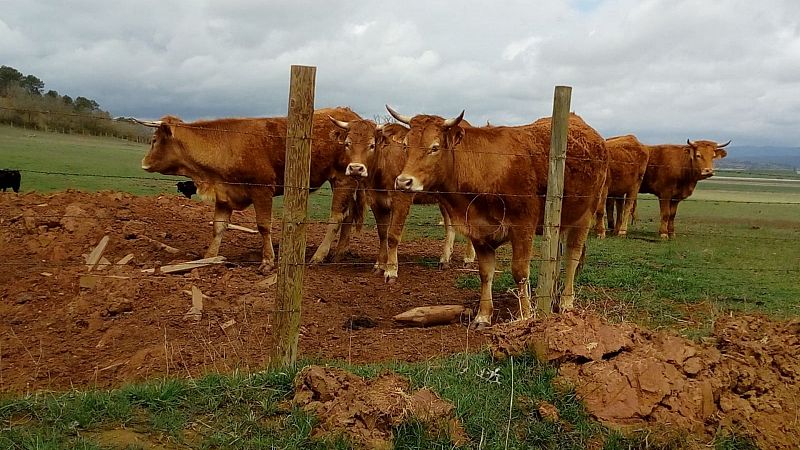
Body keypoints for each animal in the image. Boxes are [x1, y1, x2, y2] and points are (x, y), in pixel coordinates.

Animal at [139, 107, 364, 272]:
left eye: (154, 140)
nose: (144, 164)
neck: (229, 144)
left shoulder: (262, 190)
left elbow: (264, 226)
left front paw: (268, 261)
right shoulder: (225, 195)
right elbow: (218, 227)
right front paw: (208, 258)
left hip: (343, 178)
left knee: (337, 217)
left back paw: (319, 255)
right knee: (349, 214)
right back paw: (340, 252)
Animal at [326, 118, 472, 284]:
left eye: (371, 145)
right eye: (347, 144)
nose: (356, 168)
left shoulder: (401, 201)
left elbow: (393, 236)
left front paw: (391, 271)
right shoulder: (377, 203)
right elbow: (383, 235)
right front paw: (379, 265)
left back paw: (468, 258)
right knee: (450, 226)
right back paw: (445, 259)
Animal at [388, 108, 608, 326]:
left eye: (434, 148)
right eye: (406, 145)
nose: (403, 182)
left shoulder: (522, 227)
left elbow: (520, 272)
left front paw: (525, 314)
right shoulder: (479, 231)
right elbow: (486, 273)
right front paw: (483, 315)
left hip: (585, 216)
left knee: (572, 257)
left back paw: (566, 302)